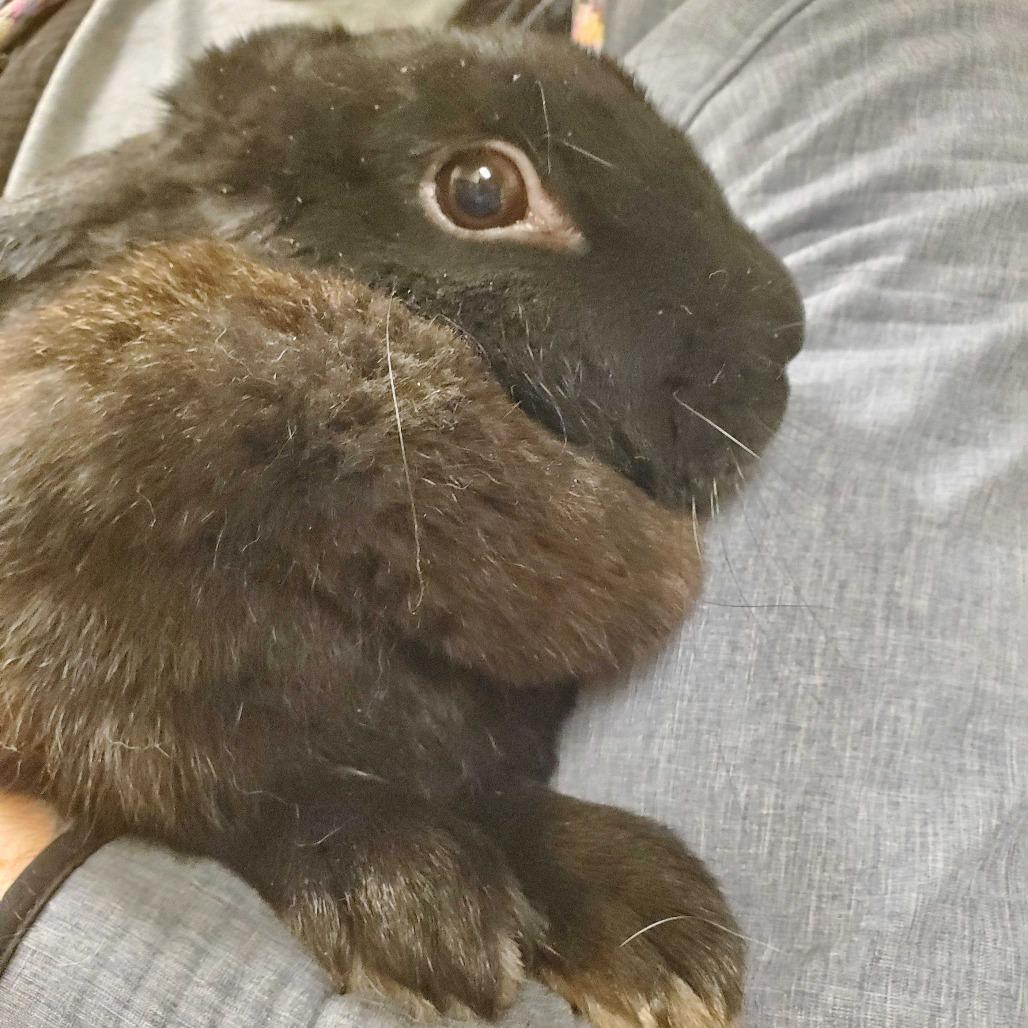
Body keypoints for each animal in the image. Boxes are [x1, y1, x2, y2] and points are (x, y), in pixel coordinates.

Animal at [0, 23, 804, 1028]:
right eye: (481, 191)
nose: (788, 328)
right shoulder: (95, 712)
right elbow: (241, 787)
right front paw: (413, 899)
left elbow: (490, 786)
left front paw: (652, 923)